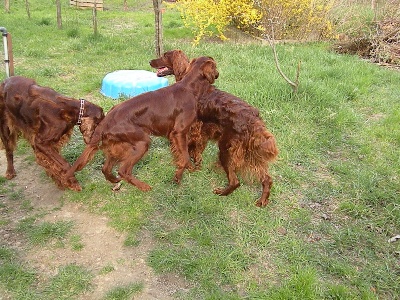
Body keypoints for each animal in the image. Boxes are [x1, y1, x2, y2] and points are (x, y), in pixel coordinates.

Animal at [67, 56, 220, 190]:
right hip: (142, 142)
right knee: (123, 170)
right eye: (215, 66)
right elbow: (184, 156)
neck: (189, 87)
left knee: (106, 169)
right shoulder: (179, 132)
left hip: (117, 145)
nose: (218, 74)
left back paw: (115, 181)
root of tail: (106, 120)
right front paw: (187, 171)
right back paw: (144, 186)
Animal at [150, 50, 278, 207]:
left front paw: (189, 167)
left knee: (235, 181)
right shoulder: (201, 133)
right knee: (267, 179)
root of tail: (254, 118)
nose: (150, 61)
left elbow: (188, 151)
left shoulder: (193, 131)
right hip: (252, 154)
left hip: (226, 150)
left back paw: (222, 193)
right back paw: (262, 200)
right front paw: (195, 166)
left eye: (164, 56)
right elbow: (195, 151)